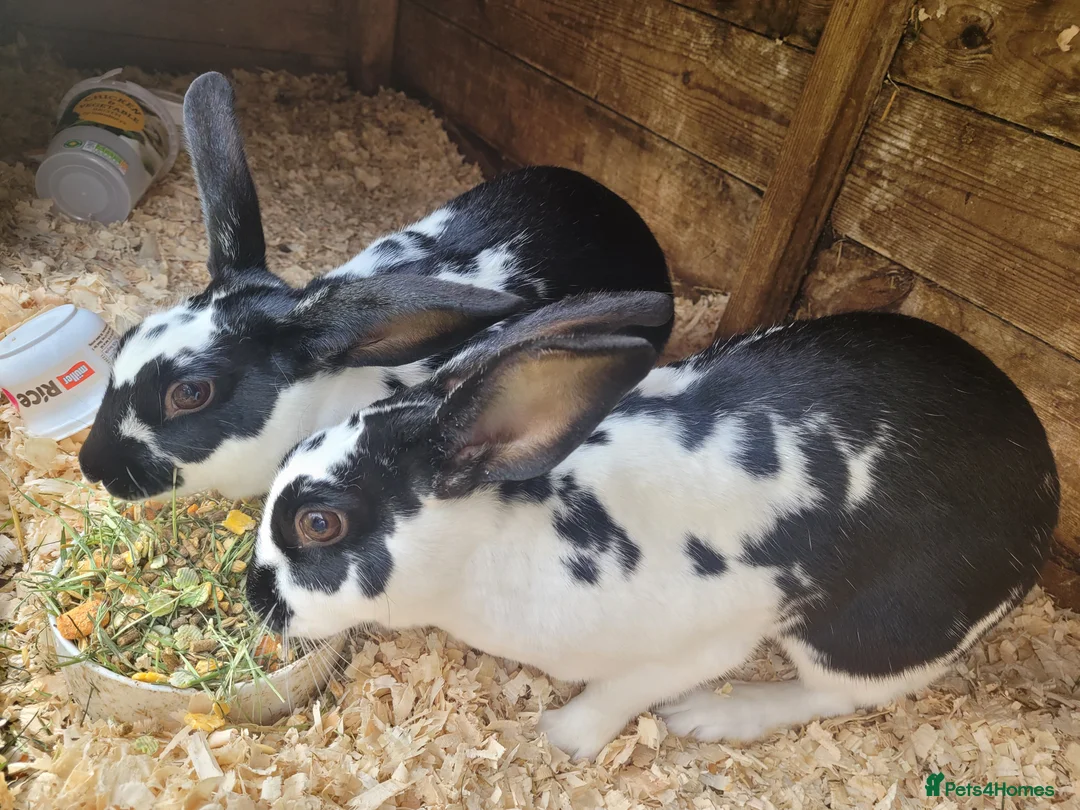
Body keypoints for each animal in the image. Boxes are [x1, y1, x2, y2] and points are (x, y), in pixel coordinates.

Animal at [246, 291, 1059, 761]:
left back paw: (714, 717)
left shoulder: (703, 641)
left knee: (840, 694)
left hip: (864, 632)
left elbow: (619, 694)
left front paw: (556, 740)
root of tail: (1044, 487)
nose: (255, 597)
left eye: (319, 523)